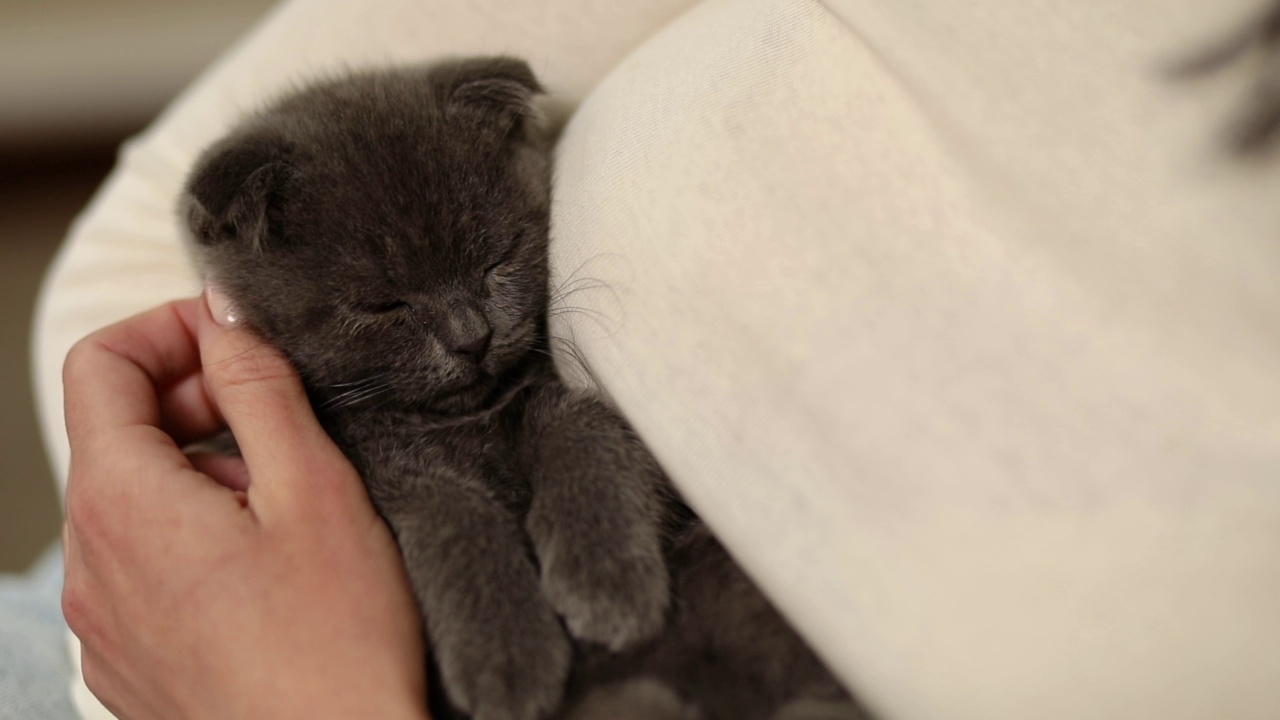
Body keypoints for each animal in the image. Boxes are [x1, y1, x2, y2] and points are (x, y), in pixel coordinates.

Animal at [180, 58, 860, 717]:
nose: (471, 338)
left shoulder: (561, 392)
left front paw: (607, 578)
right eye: (383, 304)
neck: (460, 421)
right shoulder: (367, 473)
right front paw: (506, 656)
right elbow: (445, 508)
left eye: (497, 257)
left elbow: (582, 423)